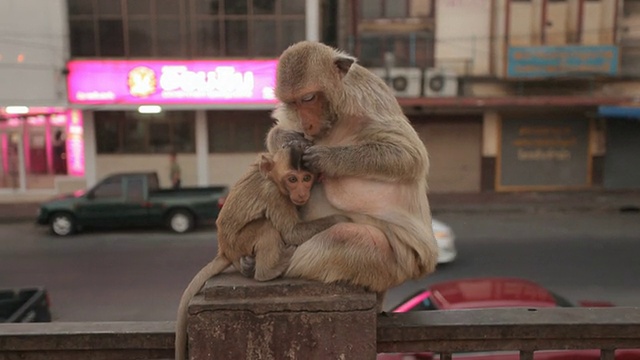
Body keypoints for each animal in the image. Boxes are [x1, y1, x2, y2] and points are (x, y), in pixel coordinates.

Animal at [174, 143, 350, 360]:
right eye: (293, 179)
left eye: (306, 178)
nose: (302, 193)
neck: (273, 178)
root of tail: (224, 249)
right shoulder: (274, 194)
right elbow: (291, 232)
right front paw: (340, 220)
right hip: (239, 242)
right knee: (267, 227)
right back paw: (269, 270)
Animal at [252, 40, 438, 302]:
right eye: (293, 102)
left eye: (308, 98)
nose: (307, 124)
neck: (337, 116)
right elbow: (281, 136)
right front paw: (286, 138)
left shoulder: (368, 101)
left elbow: (408, 155)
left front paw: (326, 158)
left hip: (393, 264)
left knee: (345, 237)